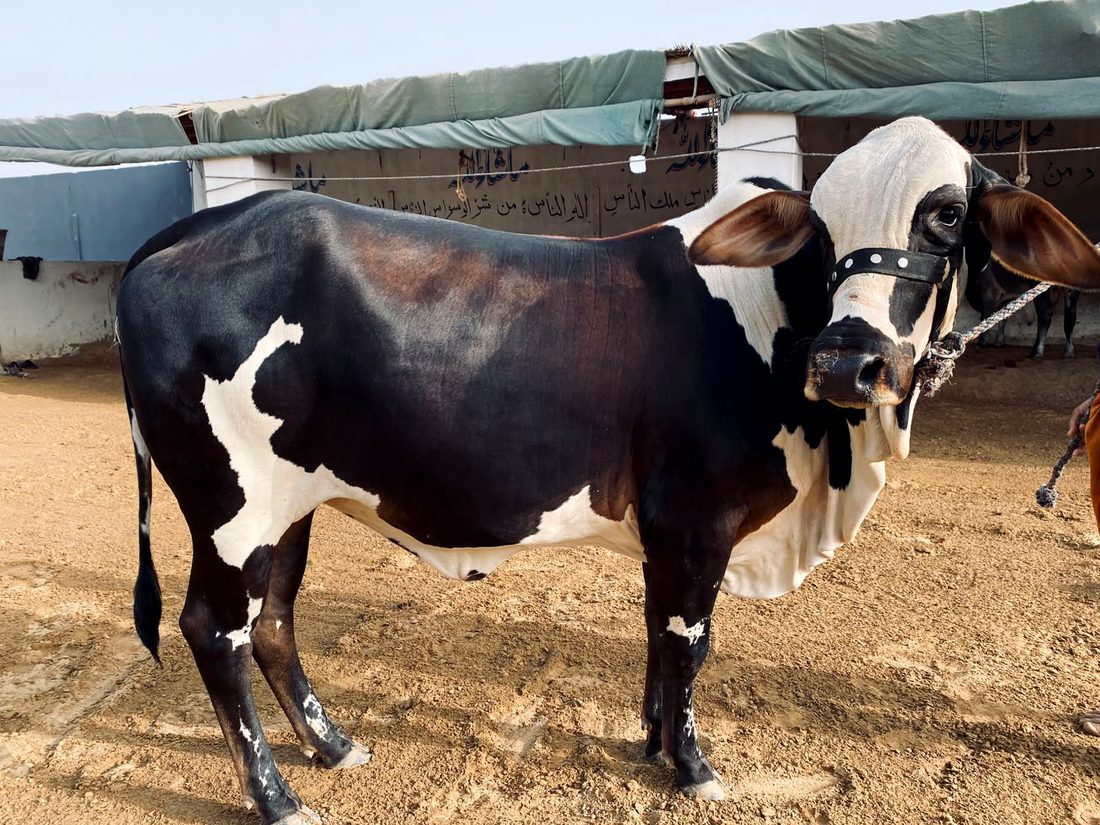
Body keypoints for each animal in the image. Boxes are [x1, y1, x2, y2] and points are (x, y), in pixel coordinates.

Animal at [115, 117, 1100, 824]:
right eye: (820, 226)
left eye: (946, 214)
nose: (848, 362)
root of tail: (191, 228)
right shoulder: (698, 522)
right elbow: (691, 640)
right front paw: (694, 765)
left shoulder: (666, 535)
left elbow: (661, 639)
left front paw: (655, 740)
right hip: (231, 509)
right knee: (216, 631)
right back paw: (278, 797)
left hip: (290, 505)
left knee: (275, 623)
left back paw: (335, 745)